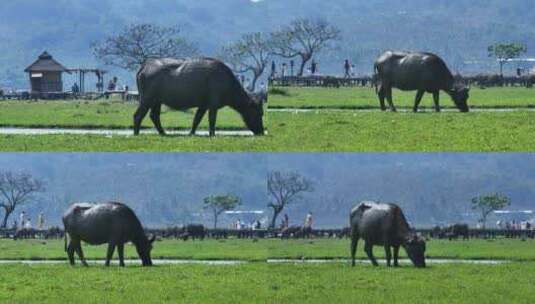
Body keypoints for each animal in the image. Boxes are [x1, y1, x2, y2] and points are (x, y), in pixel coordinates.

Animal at [135, 56, 264, 137]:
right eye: (258, 113)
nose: (262, 132)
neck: (228, 83)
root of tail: (145, 65)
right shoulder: (213, 105)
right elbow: (212, 120)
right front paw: (212, 134)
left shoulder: (203, 106)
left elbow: (197, 119)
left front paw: (191, 133)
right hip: (147, 99)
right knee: (138, 115)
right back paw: (136, 134)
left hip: (157, 101)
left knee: (154, 116)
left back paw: (163, 133)